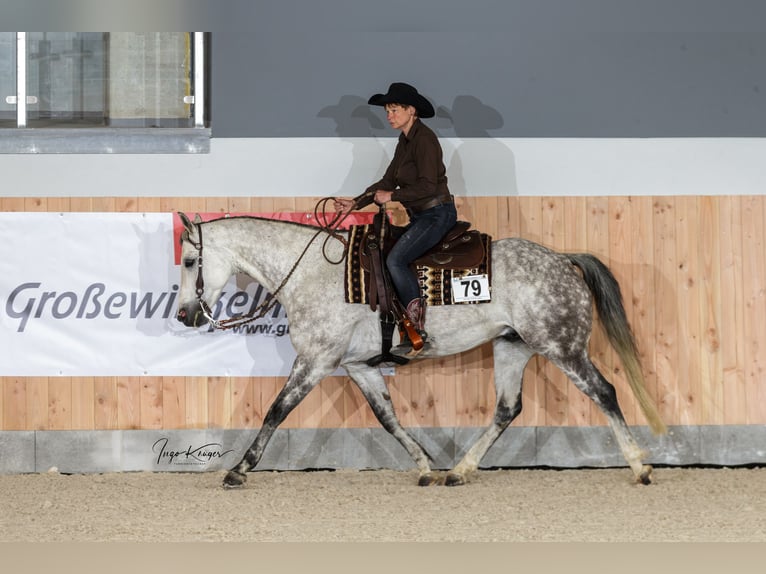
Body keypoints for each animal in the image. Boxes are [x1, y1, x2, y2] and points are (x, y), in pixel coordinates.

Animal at [178, 213, 664, 490]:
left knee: (604, 392)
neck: (313, 273)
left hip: (562, 346)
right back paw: (460, 471)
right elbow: (388, 419)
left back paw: (640, 468)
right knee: (507, 409)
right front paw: (426, 466)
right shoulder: (359, 366)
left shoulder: (315, 360)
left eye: (188, 261)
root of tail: (564, 259)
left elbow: (276, 411)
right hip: (513, 346)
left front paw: (240, 469)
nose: (184, 314)